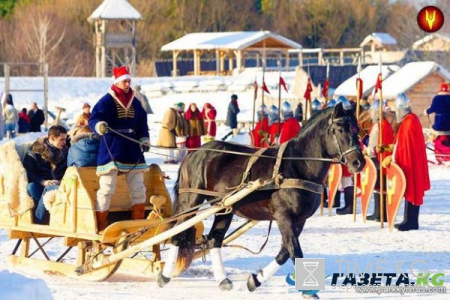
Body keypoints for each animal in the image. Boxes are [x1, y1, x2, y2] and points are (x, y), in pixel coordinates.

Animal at [157, 103, 366, 296]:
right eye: (340, 129)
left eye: (356, 129)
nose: (359, 162)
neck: (297, 166)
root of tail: (193, 153)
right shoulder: (284, 217)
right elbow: (295, 251)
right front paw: (309, 292)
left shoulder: (299, 220)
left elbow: (284, 252)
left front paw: (255, 280)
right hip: (191, 200)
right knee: (178, 233)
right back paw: (164, 276)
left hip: (223, 208)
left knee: (214, 240)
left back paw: (223, 279)